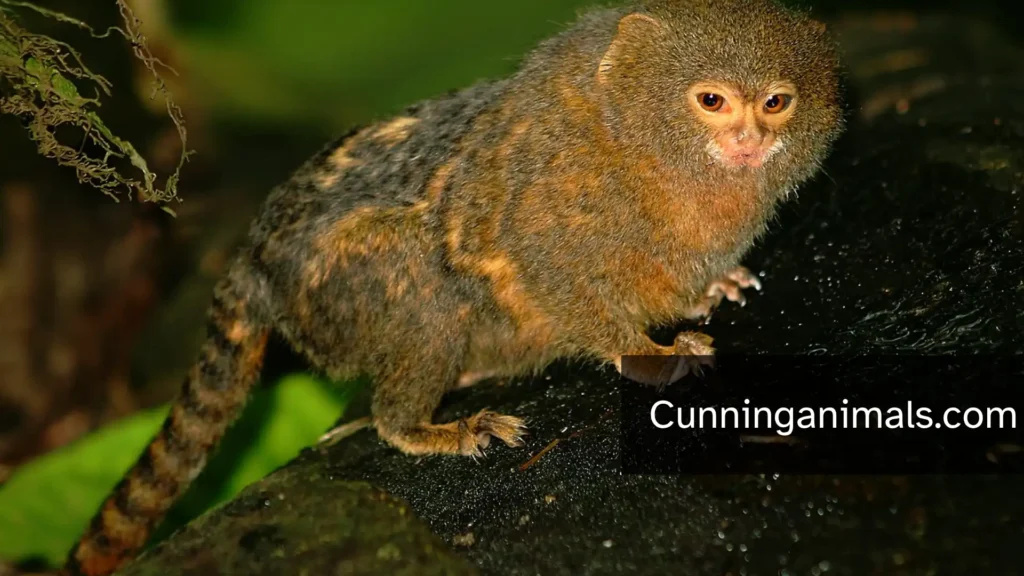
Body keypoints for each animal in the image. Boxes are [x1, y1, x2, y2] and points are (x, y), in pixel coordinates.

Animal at [63, 0, 844, 574]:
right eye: (711, 100)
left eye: (776, 102)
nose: (748, 140)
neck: (640, 144)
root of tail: (253, 264)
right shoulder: (559, 199)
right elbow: (552, 272)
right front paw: (651, 354)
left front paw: (706, 289)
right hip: (344, 289)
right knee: (422, 290)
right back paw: (422, 424)